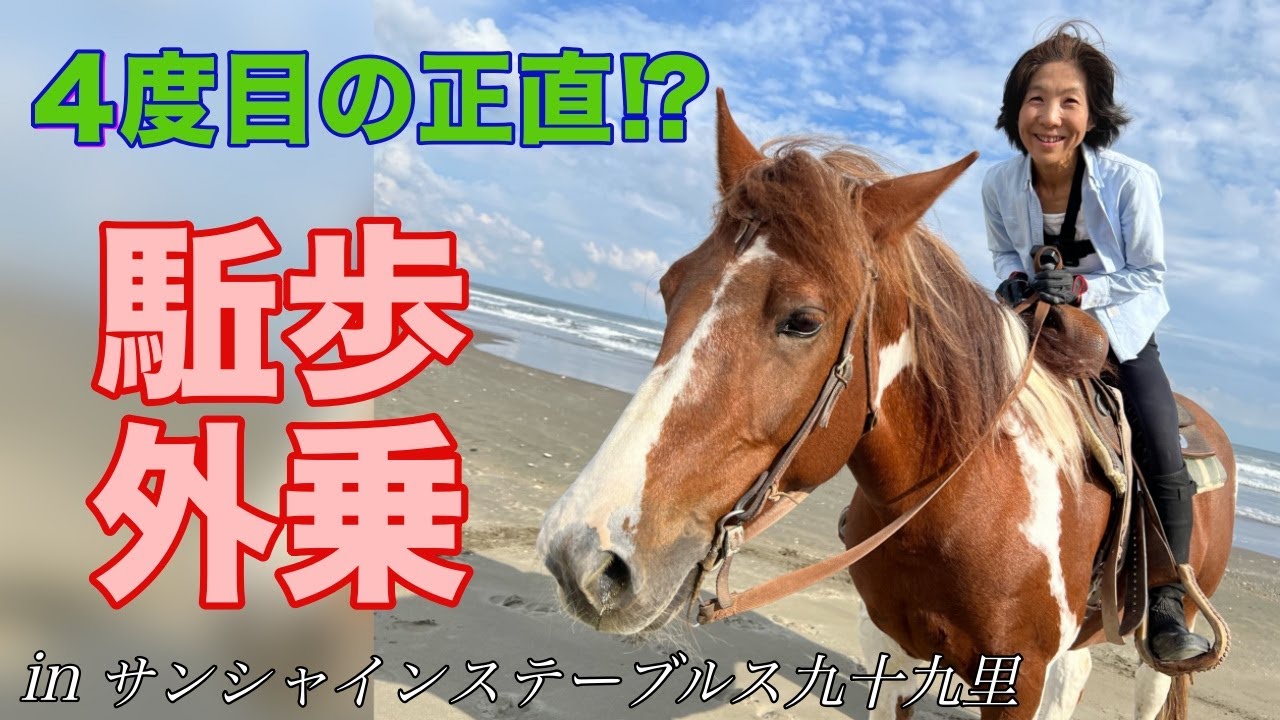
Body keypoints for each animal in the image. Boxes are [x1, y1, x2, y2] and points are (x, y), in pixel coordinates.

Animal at [536, 90, 1236, 720]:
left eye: (804, 321)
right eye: (667, 286)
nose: (582, 557)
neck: (966, 501)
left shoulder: (1019, 677)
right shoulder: (890, 644)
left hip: (1162, 641)